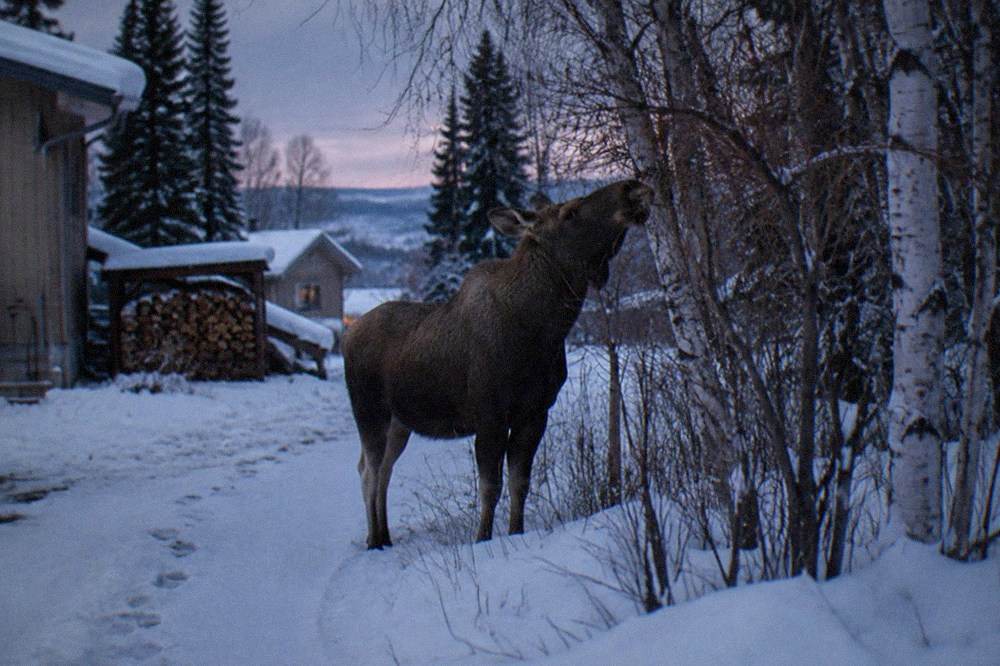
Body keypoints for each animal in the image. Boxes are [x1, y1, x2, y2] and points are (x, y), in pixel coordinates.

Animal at [342, 179, 654, 549]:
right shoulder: (489, 415)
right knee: (369, 471)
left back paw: (385, 536)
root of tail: (347, 336)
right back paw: (375, 539)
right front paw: (482, 538)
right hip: (370, 412)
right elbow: (490, 487)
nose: (632, 188)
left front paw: (516, 531)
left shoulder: (534, 413)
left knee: (382, 469)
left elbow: (520, 482)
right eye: (570, 212)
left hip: (400, 422)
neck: (542, 330)